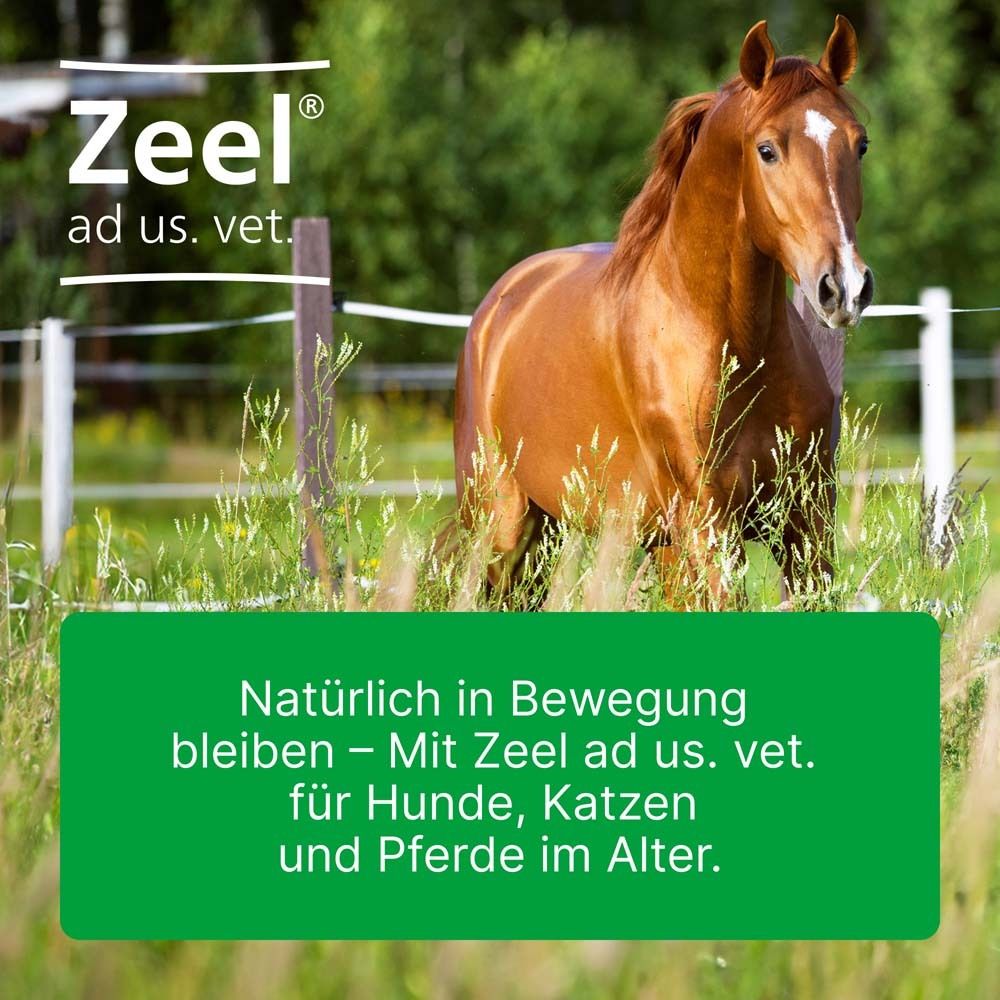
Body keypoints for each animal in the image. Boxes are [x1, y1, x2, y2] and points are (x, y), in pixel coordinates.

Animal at [453, 16, 873, 599]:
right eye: (767, 150)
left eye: (860, 145)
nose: (845, 287)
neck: (730, 344)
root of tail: (499, 304)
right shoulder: (708, 525)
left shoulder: (805, 523)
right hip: (503, 530)